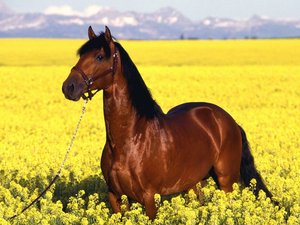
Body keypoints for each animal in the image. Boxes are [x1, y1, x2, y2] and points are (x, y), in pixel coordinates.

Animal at [62, 25, 274, 219]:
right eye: (81, 55)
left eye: (99, 57)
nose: (68, 87)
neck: (129, 139)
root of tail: (229, 121)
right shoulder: (115, 197)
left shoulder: (149, 197)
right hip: (194, 182)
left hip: (226, 180)